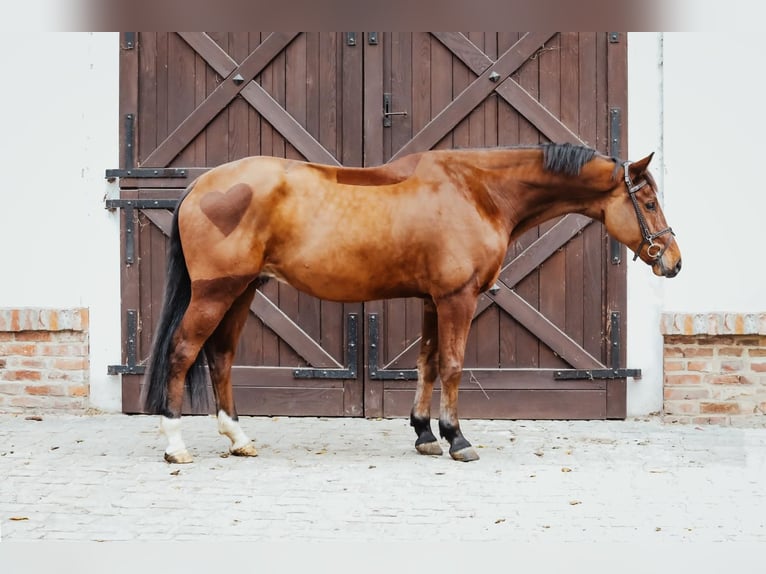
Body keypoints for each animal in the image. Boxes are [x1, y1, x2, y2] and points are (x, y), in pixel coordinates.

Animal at [146, 143, 684, 464]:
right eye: (649, 202)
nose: (674, 262)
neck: (477, 191)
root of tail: (200, 185)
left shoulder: (431, 299)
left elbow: (426, 362)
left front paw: (425, 434)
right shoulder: (456, 298)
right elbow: (452, 365)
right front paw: (457, 438)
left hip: (243, 291)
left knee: (220, 356)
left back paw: (239, 439)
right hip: (216, 291)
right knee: (182, 352)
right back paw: (175, 445)